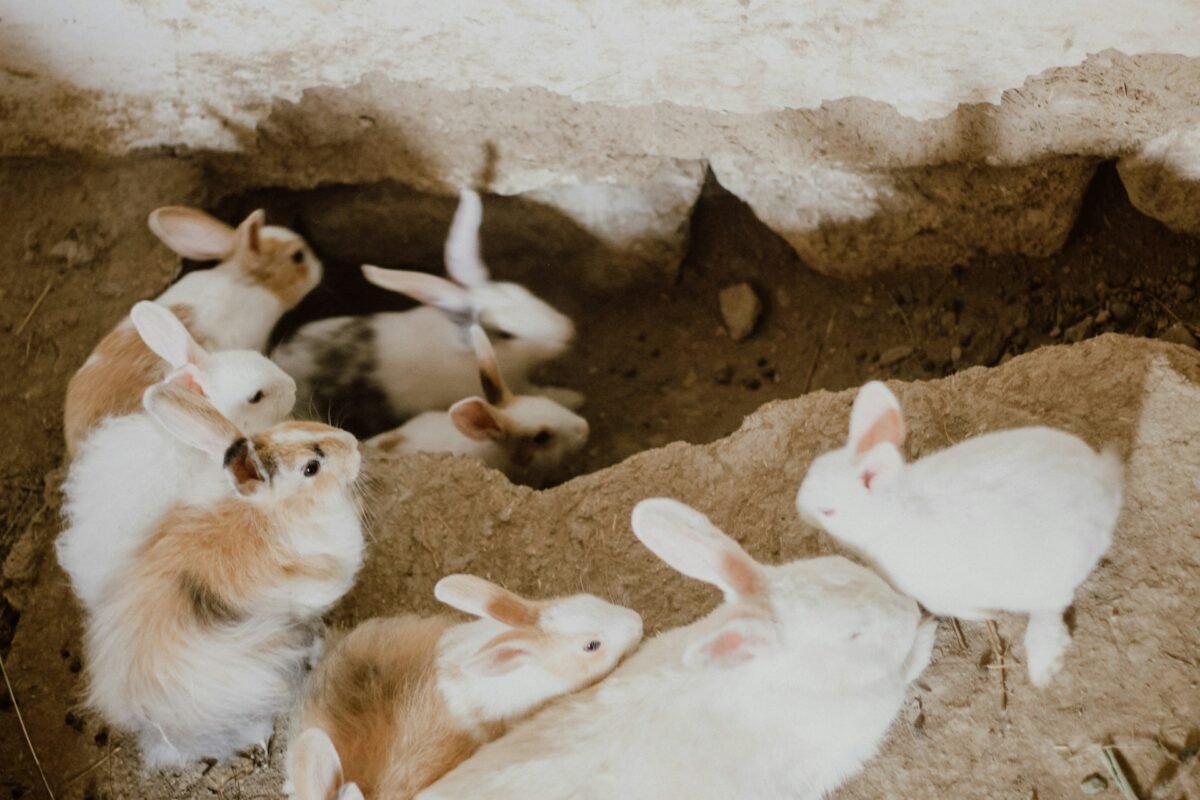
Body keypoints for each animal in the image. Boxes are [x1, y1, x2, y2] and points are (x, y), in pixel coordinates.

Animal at [795, 380, 1123, 688]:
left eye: (828, 511)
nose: (799, 507)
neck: (890, 517)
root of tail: (1103, 483)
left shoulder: (934, 592)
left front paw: (983, 614)